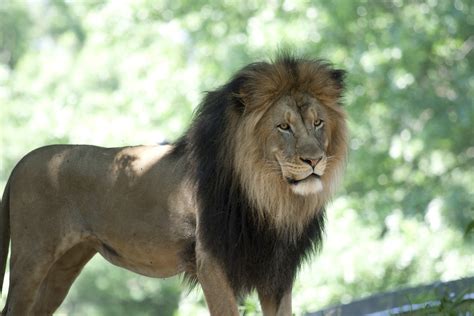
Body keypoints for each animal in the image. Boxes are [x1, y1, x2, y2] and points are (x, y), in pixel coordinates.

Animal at [0, 55, 348, 314]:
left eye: (318, 123)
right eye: (283, 127)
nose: (314, 160)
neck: (269, 196)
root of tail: (21, 163)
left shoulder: (277, 271)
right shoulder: (211, 261)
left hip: (63, 267)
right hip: (32, 260)